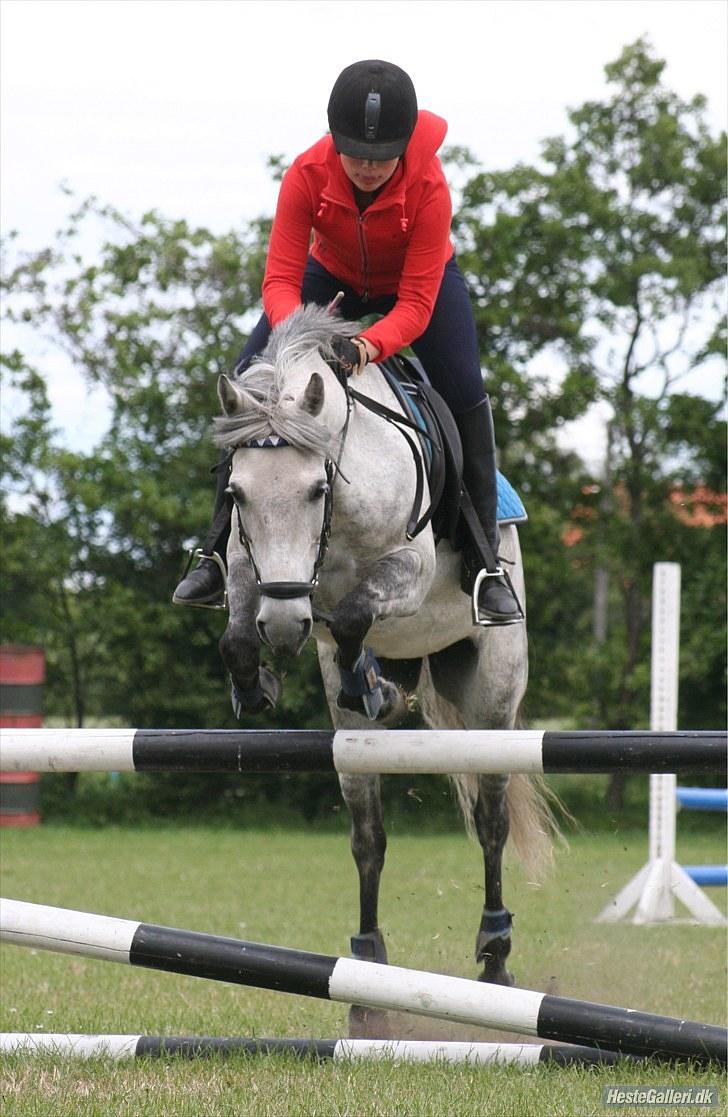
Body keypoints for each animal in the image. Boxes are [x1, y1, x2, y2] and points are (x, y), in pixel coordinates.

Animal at [213, 310, 553, 1032]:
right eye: (236, 491)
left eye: (316, 488)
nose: (284, 626)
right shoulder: (253, 567)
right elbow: (238, 634)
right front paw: (259, 681)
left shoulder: (407, 570)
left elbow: (348, 616)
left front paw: (369, 684)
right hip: (359, 746)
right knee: (368, 835)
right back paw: (368, 975)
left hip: (493, 695)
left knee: (492, 820)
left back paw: (495, 957)